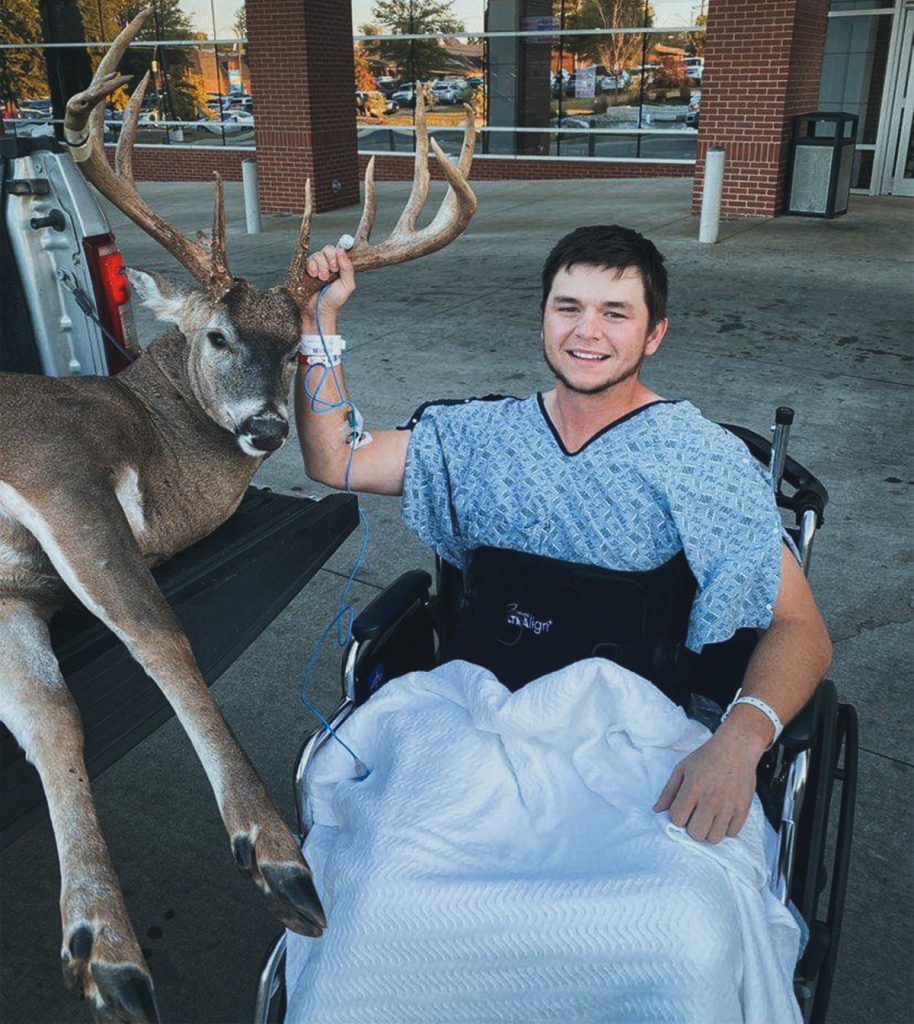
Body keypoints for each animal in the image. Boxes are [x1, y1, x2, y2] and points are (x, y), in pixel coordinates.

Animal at [1, 6, 476, 1015]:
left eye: (297, 351)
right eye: (217, 336)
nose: (263, 427)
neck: (150, 446)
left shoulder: (19, 589)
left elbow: (54, 713)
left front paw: (102, 948)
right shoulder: (53, 464)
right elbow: (161, 636)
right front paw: (280, 856)